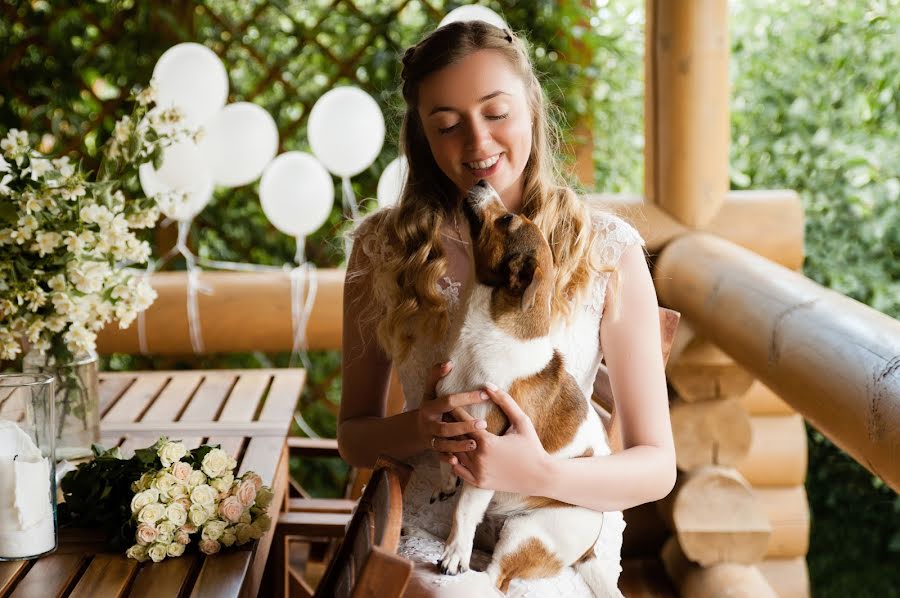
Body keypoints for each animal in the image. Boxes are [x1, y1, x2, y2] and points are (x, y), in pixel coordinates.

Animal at [434, 183, 620, 598]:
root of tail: (589, 551)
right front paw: (446, 478)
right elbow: (444, 453)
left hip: (526, 531)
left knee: (496, 578)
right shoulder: (447, 412)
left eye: (506, 219)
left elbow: (465, 510)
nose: (483, 184)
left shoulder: (484, 450)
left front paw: (455, 553)